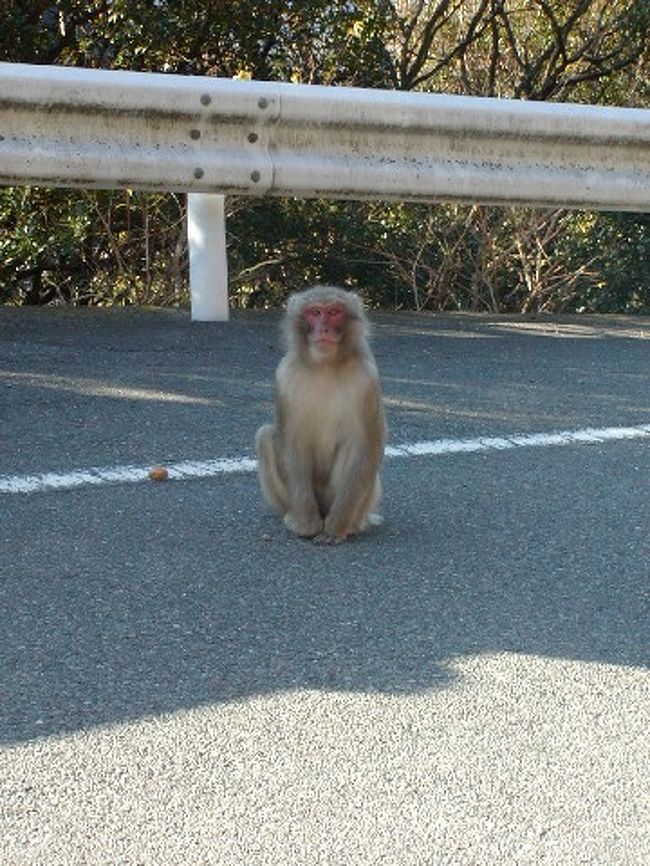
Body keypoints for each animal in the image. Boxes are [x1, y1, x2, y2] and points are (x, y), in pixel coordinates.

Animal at [255, 286, 386, 544]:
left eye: (334, 312)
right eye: (315, 312)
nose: (323, 329)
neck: (325, 365)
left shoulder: (367, 378)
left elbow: (364, 446)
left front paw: (335, 529)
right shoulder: (284, 376)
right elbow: (291, 445)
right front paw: (307, 524)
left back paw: (349, 524)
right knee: (265, 436)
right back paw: (293, 517)